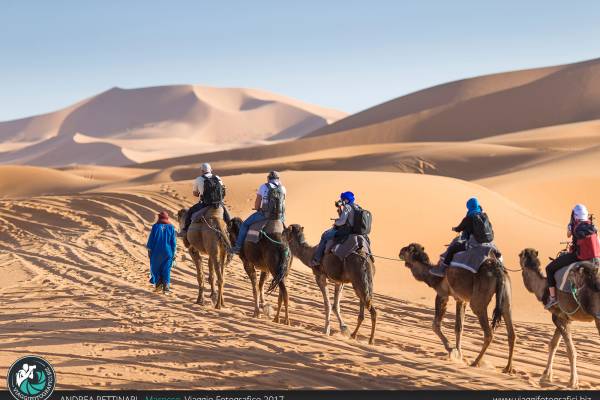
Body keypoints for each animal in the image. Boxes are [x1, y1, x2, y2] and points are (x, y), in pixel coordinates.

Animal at [398, 241, 516, 372]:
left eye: (408, 249)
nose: (400, 251)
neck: (433, 277)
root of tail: (498, 271)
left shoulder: (442, 294)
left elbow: (435, 325)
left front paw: (451, 350)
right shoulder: (461, 300)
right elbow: (459, 328)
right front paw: (459, 354)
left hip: (478, 301)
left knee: (488, 333)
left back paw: (475, 362)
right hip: (506, 296)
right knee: (511, 332)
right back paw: (508, 368)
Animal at [516, 248, 596, 390]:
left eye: (520, 255)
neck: (543, 287)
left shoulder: (559, 316)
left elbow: (570, 351)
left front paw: (572, 382)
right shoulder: (563, 317)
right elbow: (553, 344)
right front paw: (546, 375)